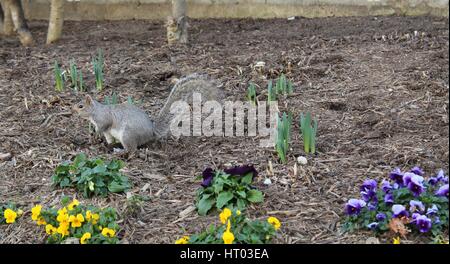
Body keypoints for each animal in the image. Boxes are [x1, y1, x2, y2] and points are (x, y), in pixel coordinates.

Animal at [72, 74, 225, 152]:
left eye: (80, 106)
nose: (72, 109)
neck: (95, 111)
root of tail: (151, 132)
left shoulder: (104, 119)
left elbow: (104, 126)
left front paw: (95, 134)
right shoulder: (108, 133)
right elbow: (108, 137)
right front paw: (103, 142)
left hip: (127, 135)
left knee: (132, 150)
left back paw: (121, 151)